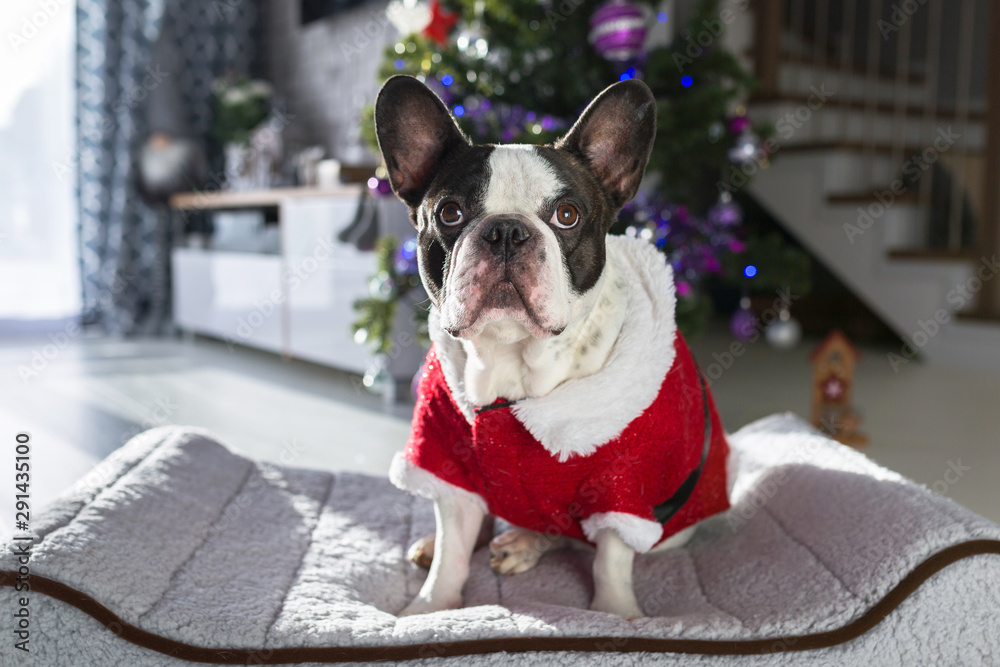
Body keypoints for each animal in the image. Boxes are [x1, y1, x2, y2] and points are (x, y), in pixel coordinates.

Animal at [376, 77, 736, 620]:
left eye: (567, 216)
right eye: (450, 213)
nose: (506, 230)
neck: (514, 364)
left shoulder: (622, 488)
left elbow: (610, 558)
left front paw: (616, 615)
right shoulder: (444, 455)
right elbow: (452, 550)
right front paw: (428, 610)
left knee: (570, 536)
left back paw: (526, 543)